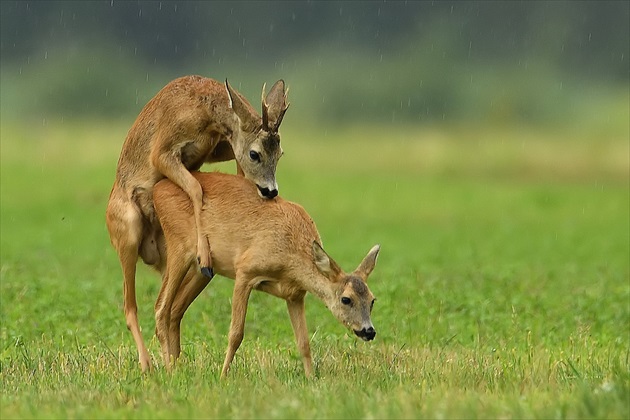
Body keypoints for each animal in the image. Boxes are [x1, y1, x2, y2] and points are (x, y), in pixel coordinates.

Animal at [105, 75, 290, 370]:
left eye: (280, 153)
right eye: (255, 153)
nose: (271, 191)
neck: (204, 110)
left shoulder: (219, 148)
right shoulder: (162, 150)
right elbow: (195, 188)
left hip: (176, 264)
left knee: (172, 310)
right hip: (128, 234)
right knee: (131, 308)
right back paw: (148, 365)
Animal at [152, 172, 380, 376]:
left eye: (372, 300)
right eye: (346, 299)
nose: (369, 331)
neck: (290, 255)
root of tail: (157, 189)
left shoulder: (295, 295)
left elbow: (303, 341)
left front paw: (311, 378)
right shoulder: (245, 270)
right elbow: (236, 333)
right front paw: (223, 375)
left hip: (204, 269)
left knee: (176, 310)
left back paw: (178, 365)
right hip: (179, 248)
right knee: (161, 307)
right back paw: (170, 370)